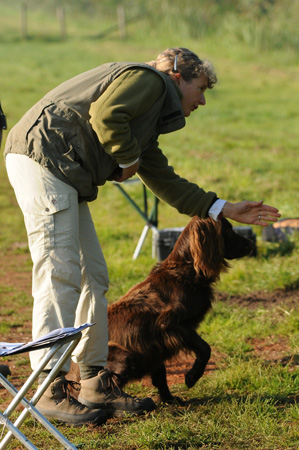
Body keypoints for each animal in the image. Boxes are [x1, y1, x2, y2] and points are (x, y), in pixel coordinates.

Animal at [106, 216, 254, 402]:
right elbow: (205, 349)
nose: (251, 244)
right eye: (227, 229)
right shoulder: (171, 324)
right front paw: (192, 377)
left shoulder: (158, 345)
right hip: (122, 356)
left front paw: (168, 399)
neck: (188, 270)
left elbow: (160, 374)